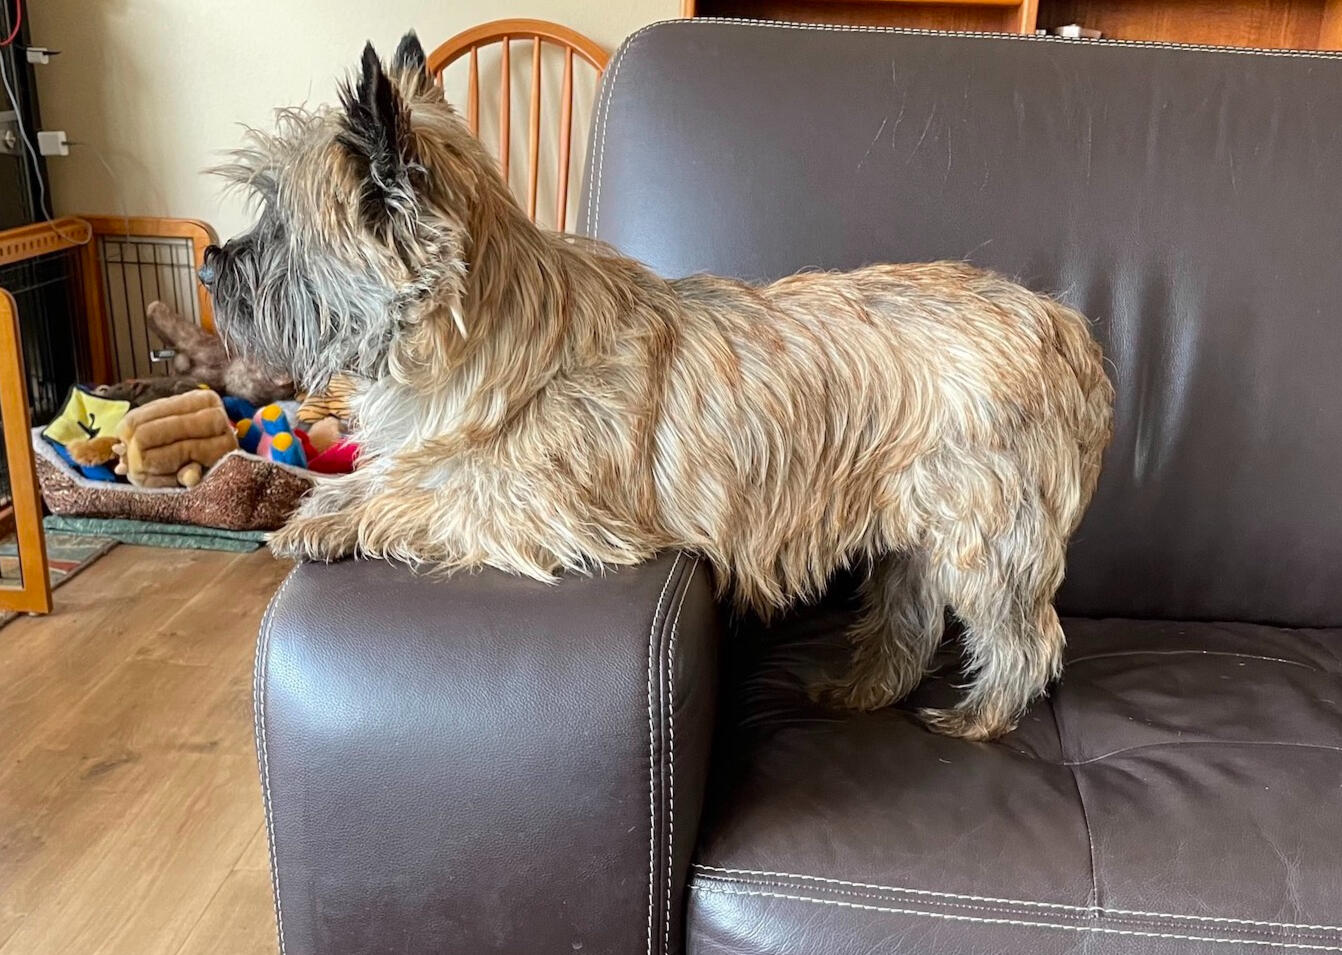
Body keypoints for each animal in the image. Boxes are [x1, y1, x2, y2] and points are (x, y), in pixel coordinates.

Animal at [203, 33, 1116, 740]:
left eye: (277, 226)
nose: (210, 263)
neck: (481, 334)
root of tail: (1068, 329)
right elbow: (395, 474)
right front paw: (325, 498)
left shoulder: (537, 508)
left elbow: (421, 496)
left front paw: (322, 518)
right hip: (915, 534)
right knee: (909, 622)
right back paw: (854, 691)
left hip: (986, 533)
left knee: (1026, 636)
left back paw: (980, 717)